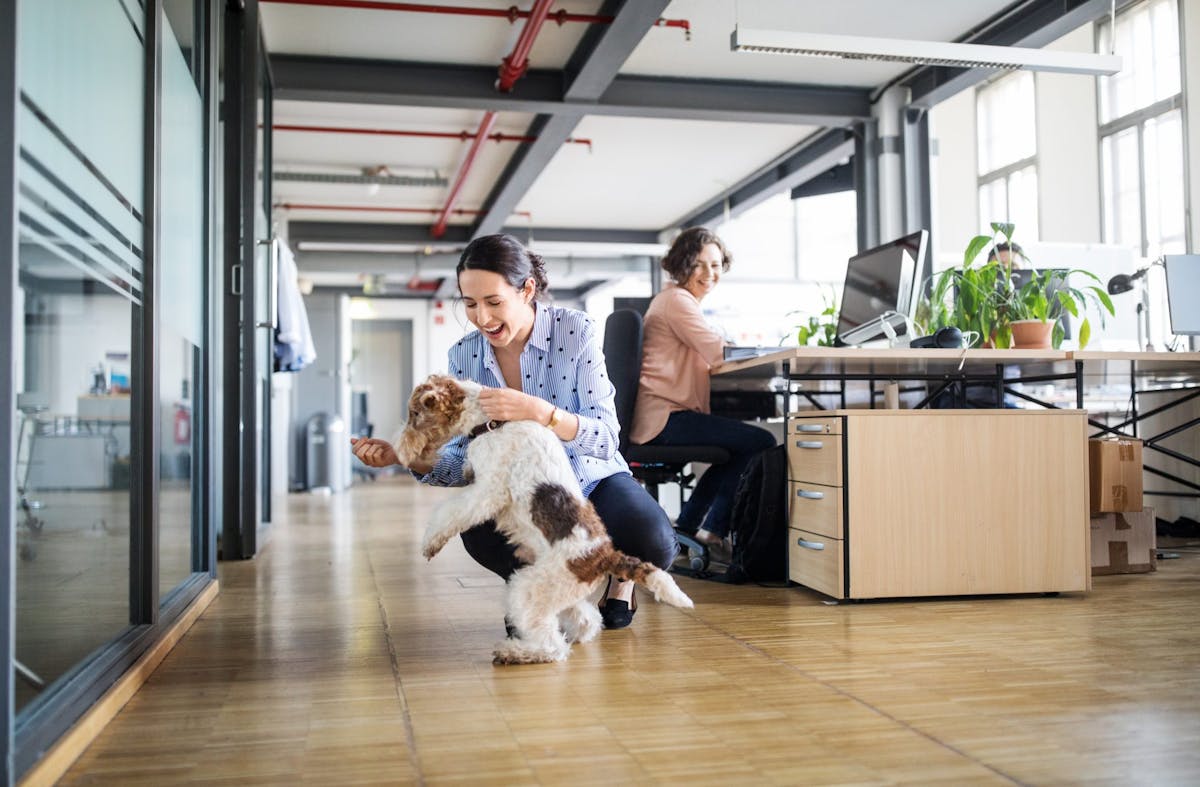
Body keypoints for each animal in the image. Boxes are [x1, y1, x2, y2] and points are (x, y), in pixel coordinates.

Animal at [396, 374, 696, 662]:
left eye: (415, 414)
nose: (400, 450)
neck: (492, 421)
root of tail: (604, 556)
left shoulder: (488, 492)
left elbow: (449, 512)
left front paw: (429, 544)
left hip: (529, 589)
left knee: (552, 646)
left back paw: (514, 652)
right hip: (554, 589)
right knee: (585, 619)